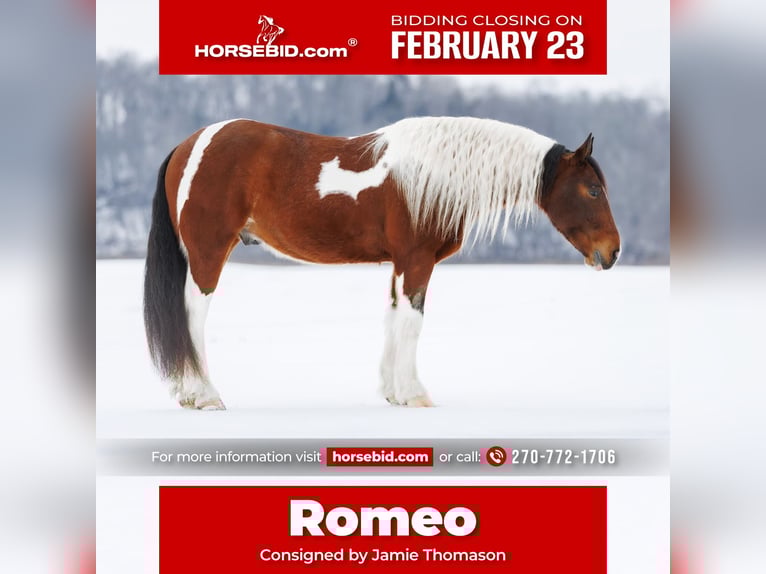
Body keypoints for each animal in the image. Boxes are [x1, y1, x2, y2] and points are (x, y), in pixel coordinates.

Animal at [143, 116, 620, 410]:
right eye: (593, 189)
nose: (613, 252)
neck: (435, 174)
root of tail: (190, 144)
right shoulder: (417, 260)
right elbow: (412, 322)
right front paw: (415, 394)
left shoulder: (399, 264)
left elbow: (394, 321)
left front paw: (393, 393)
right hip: (208, 253)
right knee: (191, 317)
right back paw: (204, 395)